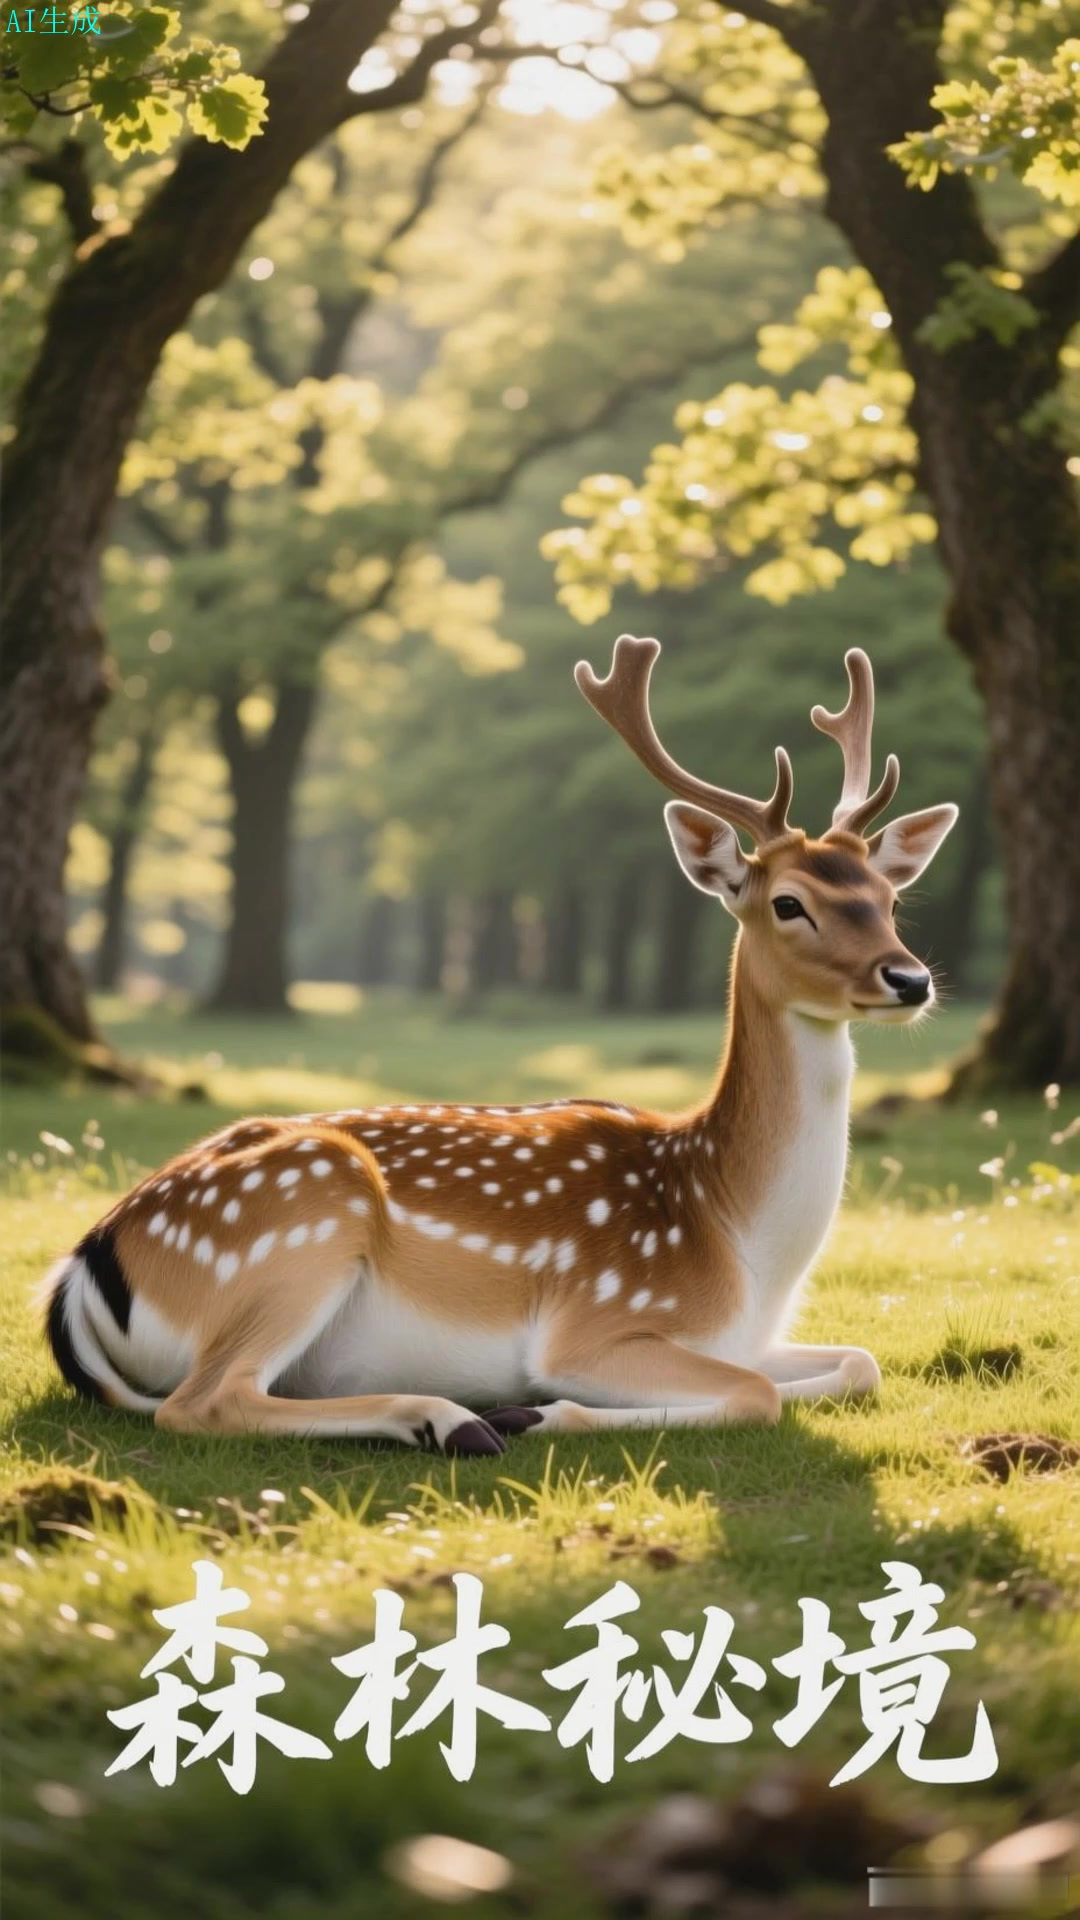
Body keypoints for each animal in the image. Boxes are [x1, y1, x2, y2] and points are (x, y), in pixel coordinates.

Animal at [43, 638, 956, 1456]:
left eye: (888, 897)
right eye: (789, 904)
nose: (911, 978)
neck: (741, 1247)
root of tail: (83, 1269)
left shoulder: (753, 1339)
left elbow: (859, 1363)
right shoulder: (595, 1325)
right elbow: (756, 1394)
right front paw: (540, 1411)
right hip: (304, 1222)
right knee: (204, 1402)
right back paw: (452, 1418)